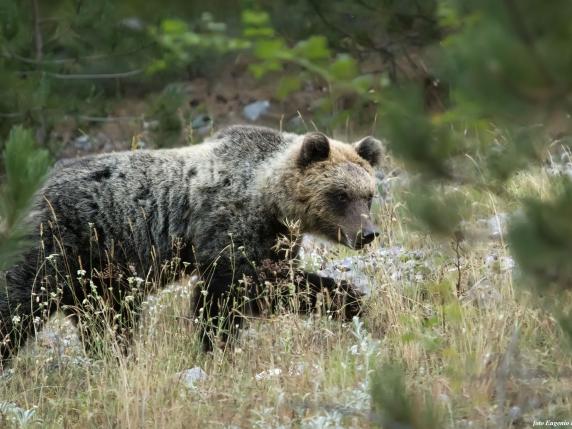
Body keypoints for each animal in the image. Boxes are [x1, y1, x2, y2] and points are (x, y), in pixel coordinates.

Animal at [1, 123, 384, 362]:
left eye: (368, 195)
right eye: (340, 195)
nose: (367, 234)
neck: (269, 198)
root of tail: (31, 191)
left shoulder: (275, 239)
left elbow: (273, 284)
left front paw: (351, 302)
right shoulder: (228, 228)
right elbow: (228, 294)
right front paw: (215, 346)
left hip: (98, 273)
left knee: (106, 318)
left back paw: (115, 357)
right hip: (59, 245)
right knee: (18, 304)